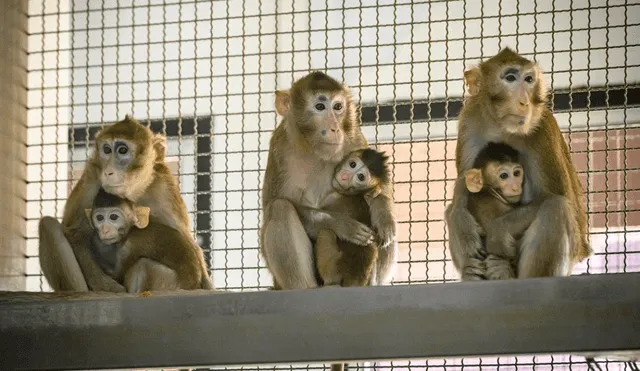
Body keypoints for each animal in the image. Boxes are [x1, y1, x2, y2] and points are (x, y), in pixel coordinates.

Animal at [38, 115, 214, 292]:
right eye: (107, 150)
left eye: (122, 150)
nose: (108, 171)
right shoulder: (91, 180)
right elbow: (75, 235)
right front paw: (111, 288)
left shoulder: (164, 187)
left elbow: (187, 241)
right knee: (48, 225)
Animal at [316, 147, 390, 288]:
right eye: (352, 164)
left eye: (360, 177)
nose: (345, 176)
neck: (356, 194)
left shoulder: (331, 198)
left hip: (332, 268)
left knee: (325, 232)